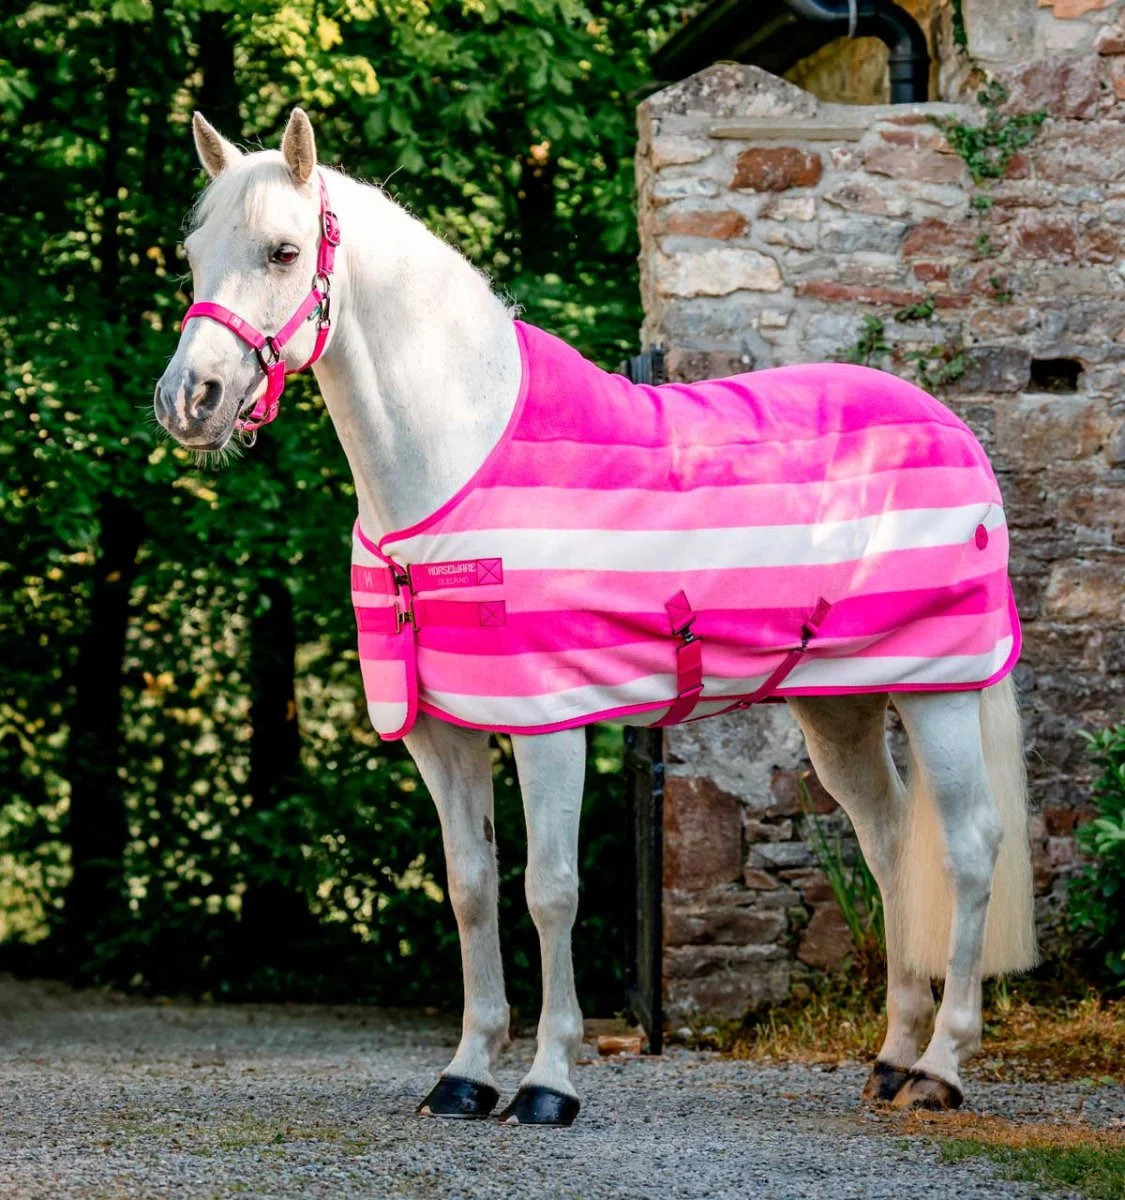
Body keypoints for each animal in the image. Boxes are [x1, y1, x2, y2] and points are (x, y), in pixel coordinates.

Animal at [154, 108, 1036, 1126]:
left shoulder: (549, 724)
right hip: (840, 705)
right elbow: (469, 887)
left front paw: (547, 1083)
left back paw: (940, 1067)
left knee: (966, 848)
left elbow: (551, 891)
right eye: (193, 254)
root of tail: (950, 426)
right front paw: (464, 1075)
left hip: (938, 690)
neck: (455, 460)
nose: (187, 401)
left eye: (283, 250)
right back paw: (891, 1056)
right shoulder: (441, 733)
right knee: (889, 842)